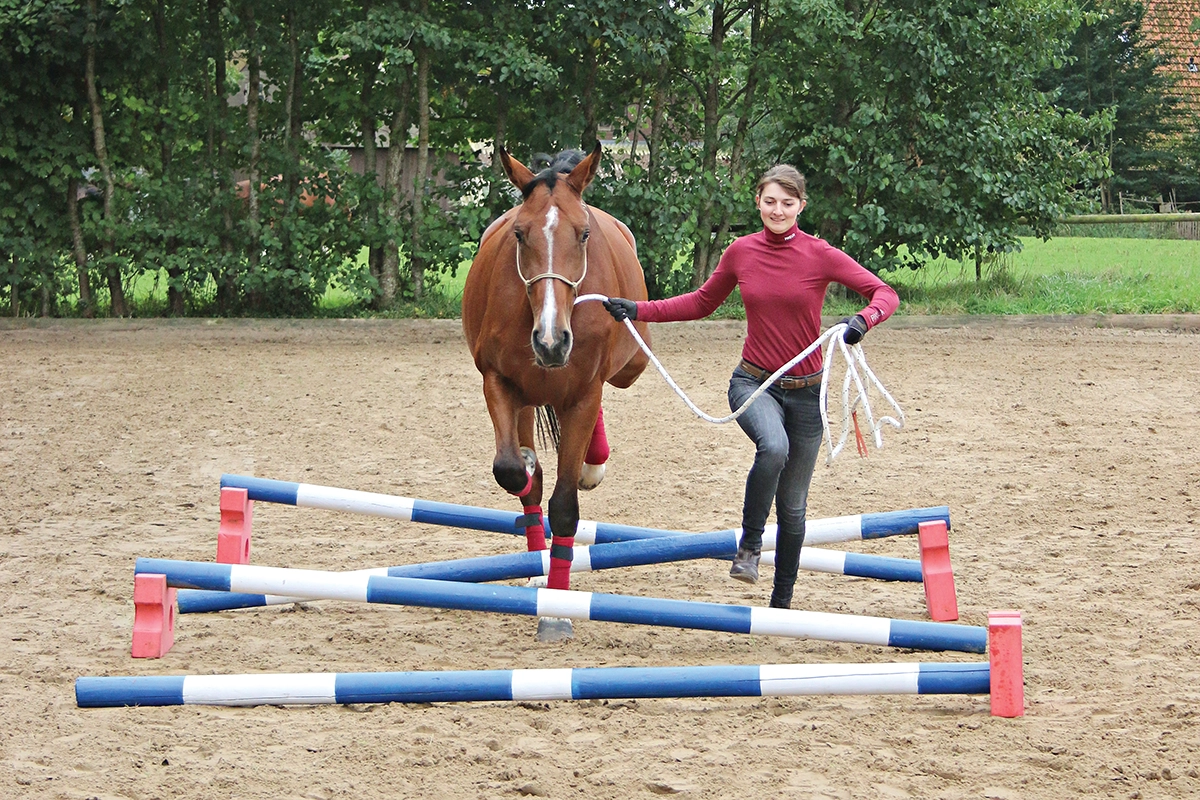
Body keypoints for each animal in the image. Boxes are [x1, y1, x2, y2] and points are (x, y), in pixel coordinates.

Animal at [461, 142, 651, 641]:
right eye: (520, 234)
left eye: (582, 235)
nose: (550, 342)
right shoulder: (498, 381)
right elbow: (512, 471)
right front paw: (528, 469)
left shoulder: (584, 394)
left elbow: (565, 505)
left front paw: (557, 611)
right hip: (526, 397)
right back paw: (535, 566)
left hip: (631, 365)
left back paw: (590, 466)